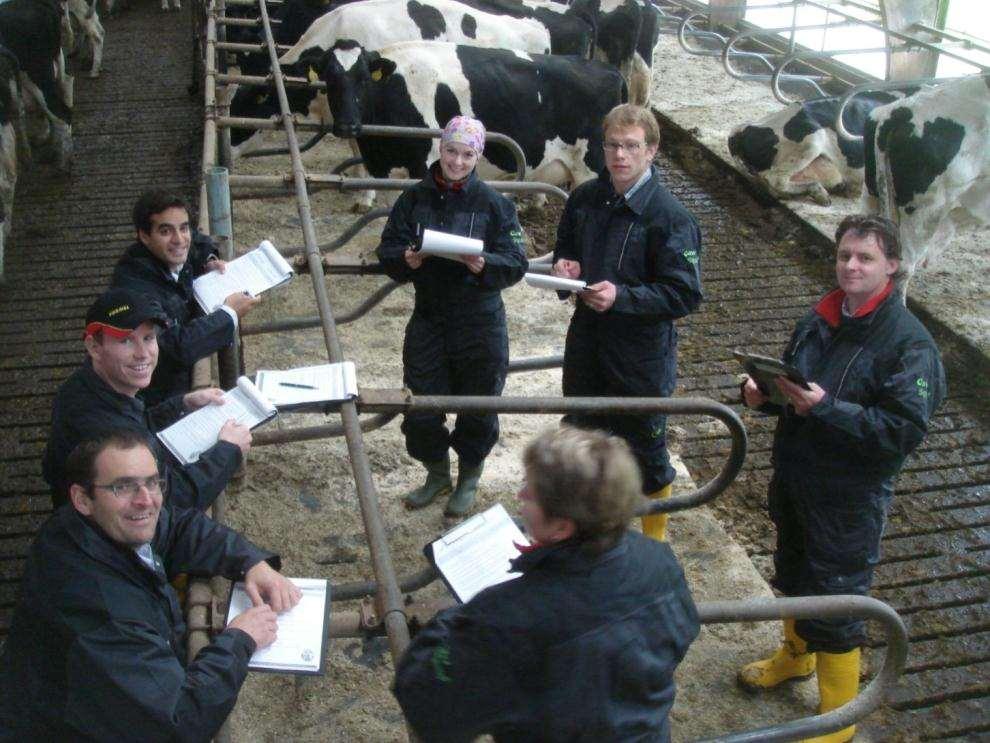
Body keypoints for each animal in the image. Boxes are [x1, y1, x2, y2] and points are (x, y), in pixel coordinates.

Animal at [320, 39, 628, 190]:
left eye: (363, 79)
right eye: (329, 79)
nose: (347, 126)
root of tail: (608, 69)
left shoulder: (424, 163)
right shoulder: (379, 165)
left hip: (590, 167)